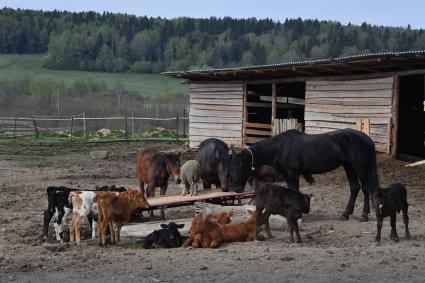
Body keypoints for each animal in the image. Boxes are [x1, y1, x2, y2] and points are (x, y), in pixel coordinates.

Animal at [230, 129, 380, 222]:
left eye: (240, 166)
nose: (236, 189)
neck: (280, 147)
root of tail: (367, 139)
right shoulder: (288, 175)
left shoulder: (293, 173)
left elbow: (294, 190)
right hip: (348, 167)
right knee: (355, 188)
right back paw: (345, 214)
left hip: (360, 168)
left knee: (365, 189)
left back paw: (364, 215)